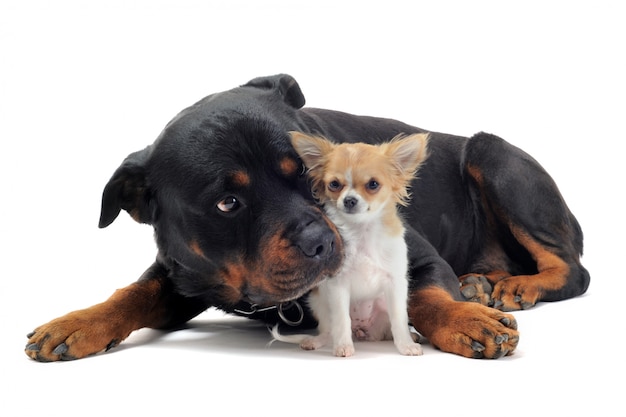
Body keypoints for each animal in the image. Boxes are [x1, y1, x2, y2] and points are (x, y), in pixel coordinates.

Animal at [272, 132, 428, 356]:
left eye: (373, 184)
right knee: (329, 329)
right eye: (334, 184)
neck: (361, 231)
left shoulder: (396, 283)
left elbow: (399, 319)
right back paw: (318, 341)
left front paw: (406, 346)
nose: (349, 200)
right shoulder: (338, 285)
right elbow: (341, 320)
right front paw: (343, 347)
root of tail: (362, 330)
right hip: (319, 302)